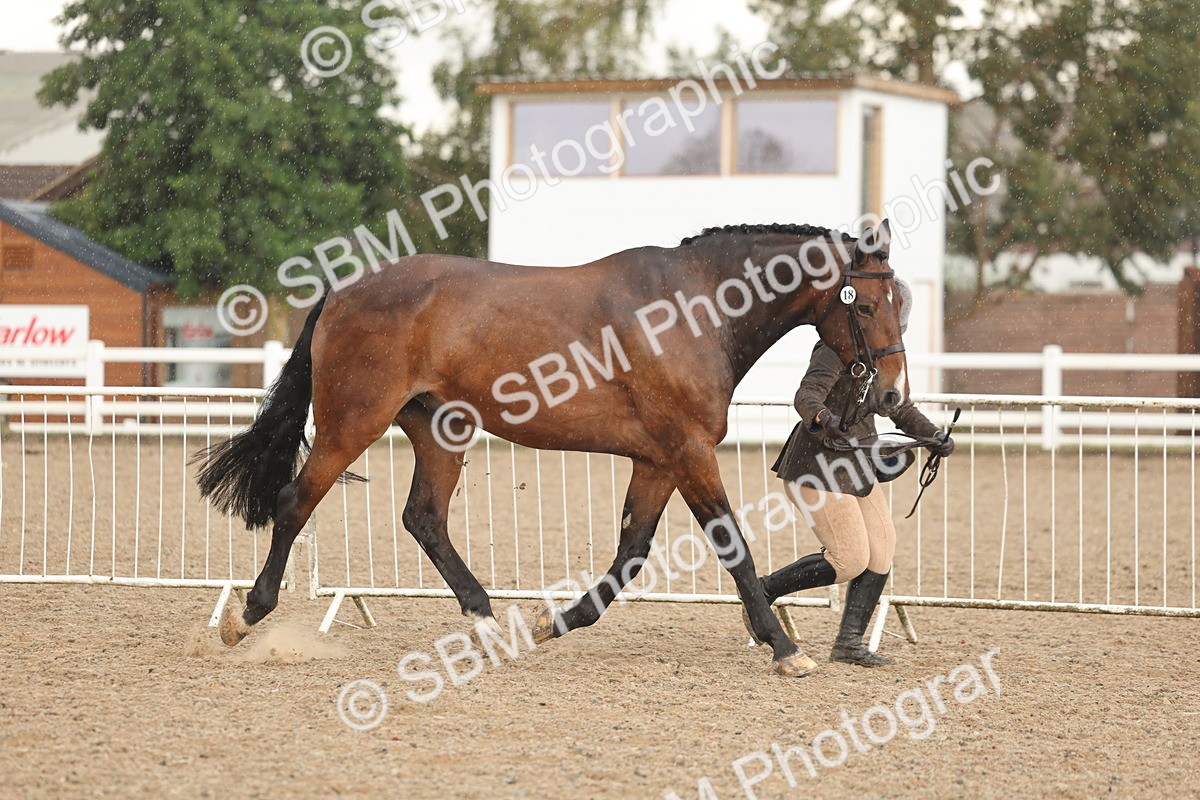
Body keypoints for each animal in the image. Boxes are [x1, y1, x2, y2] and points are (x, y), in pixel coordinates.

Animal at [196, 220, 908, 676]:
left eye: (900, 300)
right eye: (867, 305)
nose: (891, 393)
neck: (695, 310)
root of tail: (344, 291)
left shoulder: (657, 461)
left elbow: (629, 557)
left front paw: (550, 625)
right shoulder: (688, 452)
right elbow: (731, 544)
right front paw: (785, 650)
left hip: (440, 430)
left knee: (424, 518)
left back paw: (490, 627)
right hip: (354, 423)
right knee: (296, 501)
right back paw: (245, 617)